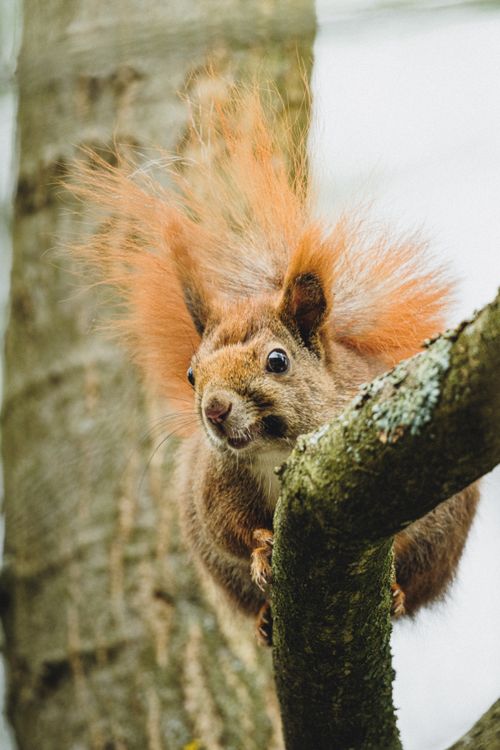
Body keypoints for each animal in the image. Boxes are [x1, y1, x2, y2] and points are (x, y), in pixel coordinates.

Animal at [71, 82, 479, 644]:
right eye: (192, 375)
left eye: (278, 361)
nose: (215, 410)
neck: (272, 452)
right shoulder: (216, 487)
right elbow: (233, 530)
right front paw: (263, 549)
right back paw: (265, 617)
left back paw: (397, 594)